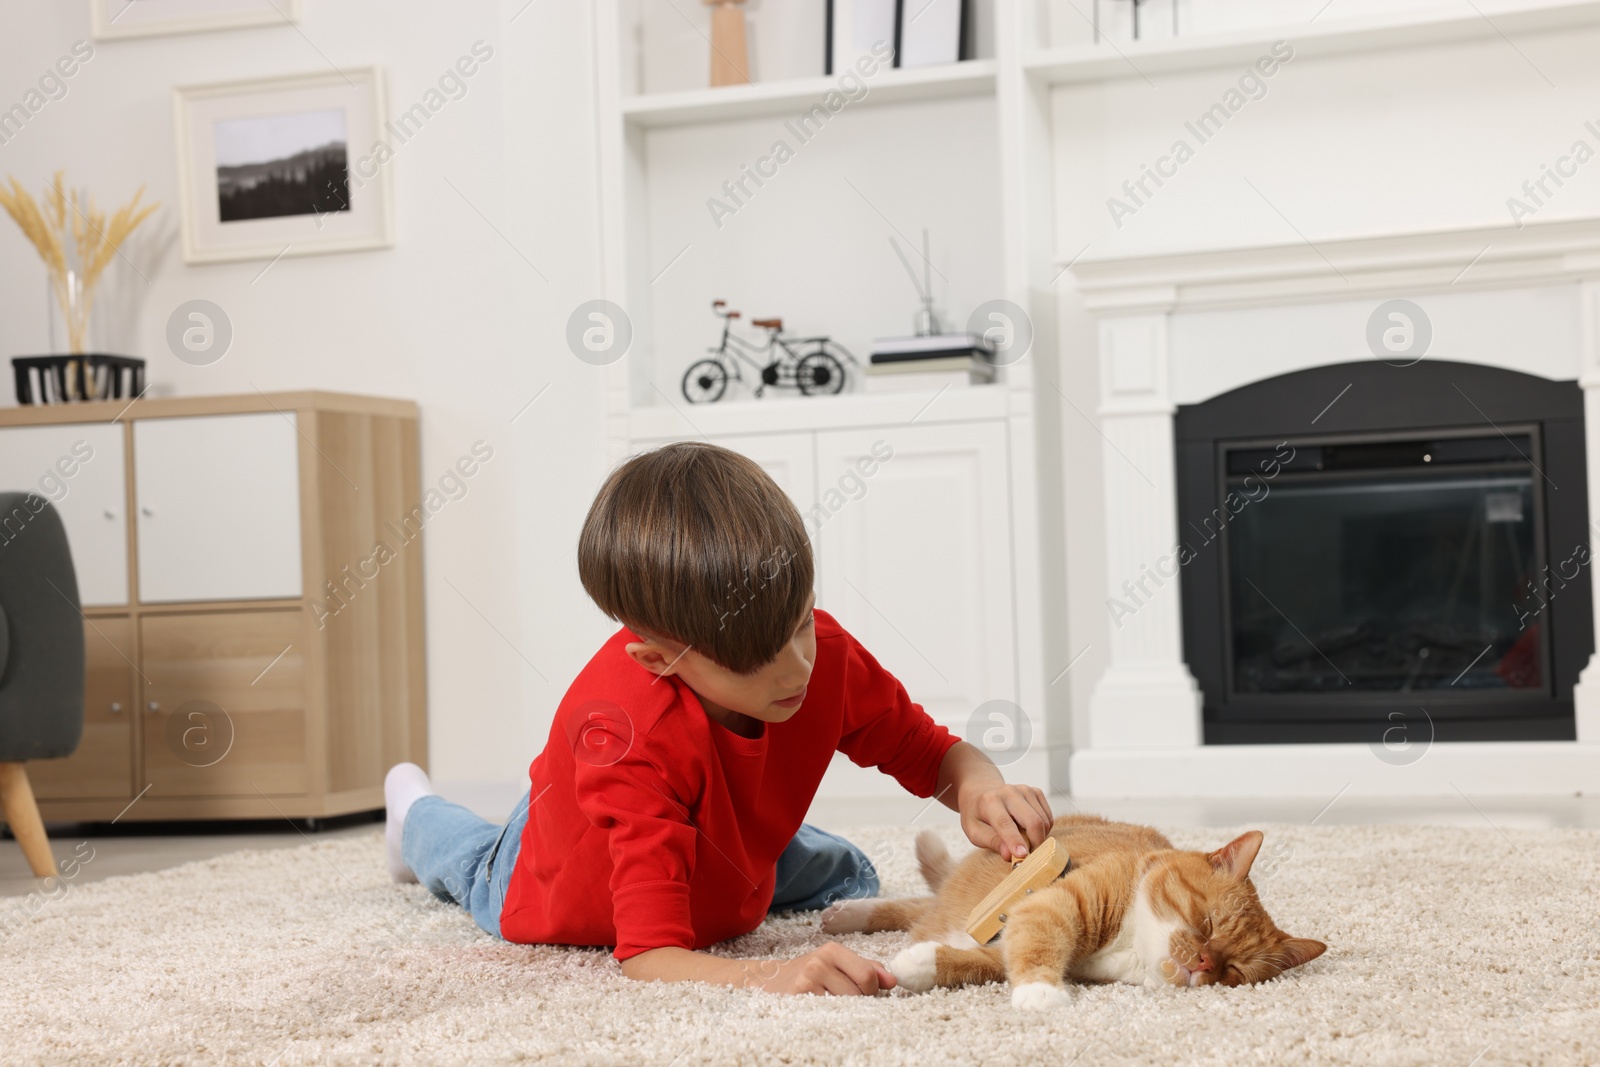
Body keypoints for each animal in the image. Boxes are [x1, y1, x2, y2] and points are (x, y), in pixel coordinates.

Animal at [819, 819, 1318, 1011]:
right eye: (1207, 923)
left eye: (1233, 971)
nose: (1203, 963)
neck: (1128, 945)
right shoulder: (1053, 906)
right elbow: (1041, 941)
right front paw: (1041, 993)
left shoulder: (1010, 939)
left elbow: (980, 964)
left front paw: (917, 964)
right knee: (914, 905)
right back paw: (844, 913)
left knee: (921, 912)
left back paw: (843, 915)